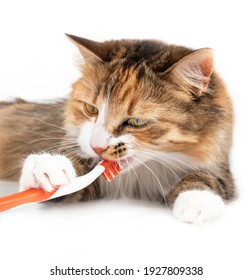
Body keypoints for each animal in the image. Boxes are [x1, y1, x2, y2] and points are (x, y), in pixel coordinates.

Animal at [0, 35, 236, 224]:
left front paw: (197, 200)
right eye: (91, 109)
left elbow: (205, 178)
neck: (141, 175)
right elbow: (71, 182)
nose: (96, 147)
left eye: (136, 122)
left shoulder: (220, 168)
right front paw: (47, 170)